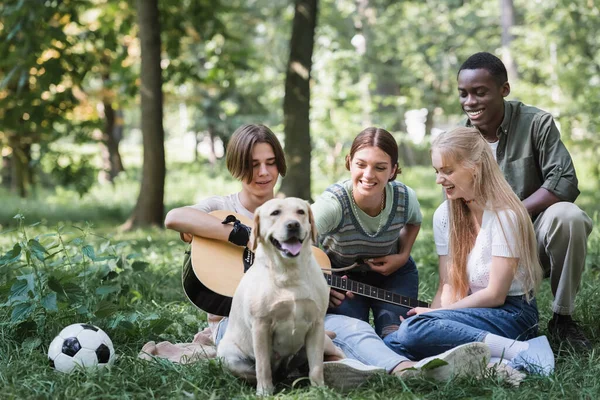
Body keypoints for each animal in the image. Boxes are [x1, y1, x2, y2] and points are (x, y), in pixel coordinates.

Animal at [216, 197, 328, 394]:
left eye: (301, 212)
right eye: (275, 213)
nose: (293, 225)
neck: (289, 274)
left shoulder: (317, 324)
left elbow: (316, 366)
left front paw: (320, 390)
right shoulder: (261, 325)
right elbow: (262, 366)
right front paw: (264, 392)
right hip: (228, 354)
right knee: (256, 371)